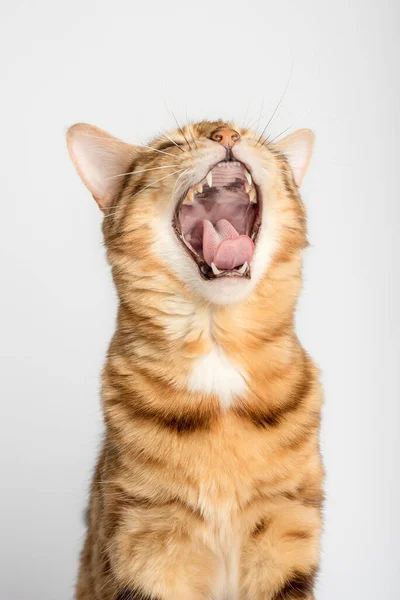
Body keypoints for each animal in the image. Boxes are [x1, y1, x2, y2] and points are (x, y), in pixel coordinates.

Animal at [67, 118, 324, 600]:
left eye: (255, 139)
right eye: (172, 144)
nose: (225, 135)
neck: (217, 346)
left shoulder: (287, 523)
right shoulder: (145, 534)